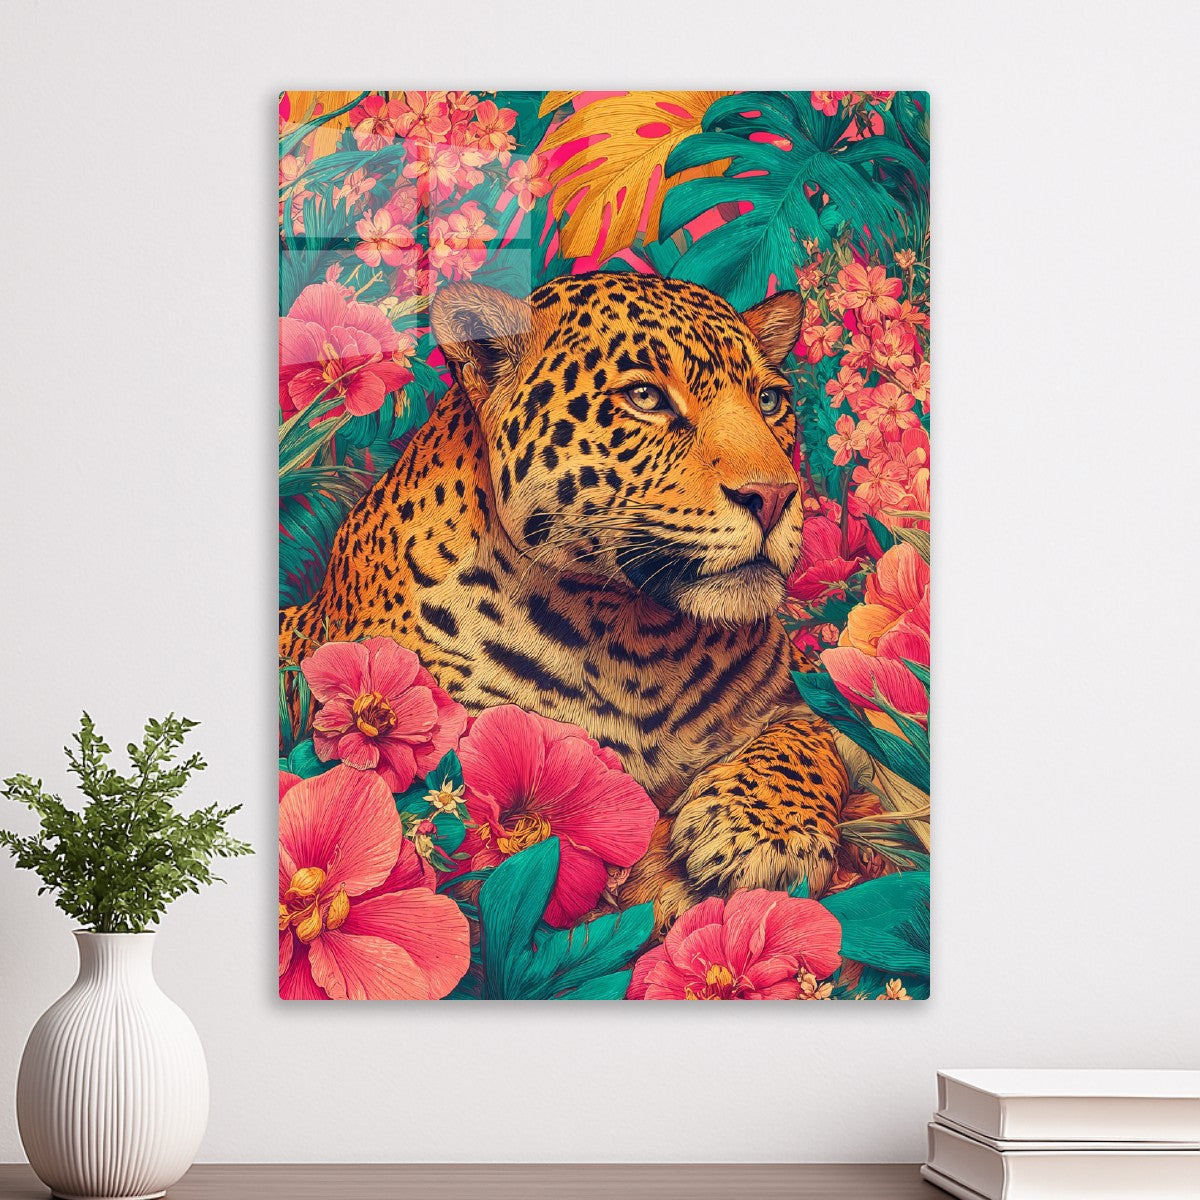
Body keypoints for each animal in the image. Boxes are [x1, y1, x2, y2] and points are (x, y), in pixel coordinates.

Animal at [279, 271, 853, 931]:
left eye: (771, 401)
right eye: (646, 398)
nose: (775, 495)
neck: (637, 638)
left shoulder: (801, 691)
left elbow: (814, 739)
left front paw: (759, 835)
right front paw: (665, 877)